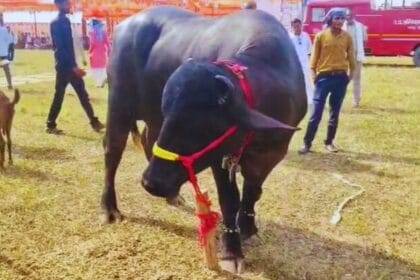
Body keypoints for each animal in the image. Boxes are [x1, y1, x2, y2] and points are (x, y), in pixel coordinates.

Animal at [101, 6, 306, 272]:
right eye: (172, 112)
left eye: (199, 124)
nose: (150, 182)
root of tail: (123, 26)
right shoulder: (220, 158)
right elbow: (229, 200)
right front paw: (231, 252)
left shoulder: (272, 155)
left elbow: (253, 191)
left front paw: (248, 226)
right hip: (119, 104)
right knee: (112, 150)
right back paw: (109, 209)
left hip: (152, 118)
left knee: (148, 139)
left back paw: (172, 195)